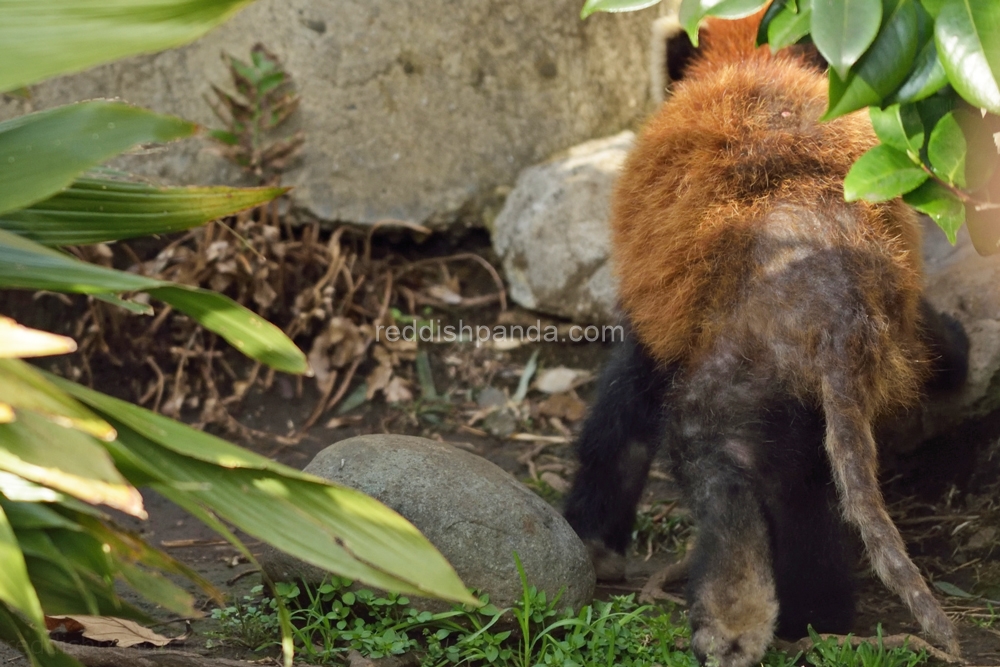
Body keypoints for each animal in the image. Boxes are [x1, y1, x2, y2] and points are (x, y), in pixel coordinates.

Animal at [568, 11, 964, 667]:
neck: (748, 58)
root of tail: (837, 300)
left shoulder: (658, 325)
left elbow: (619, 421)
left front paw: (592, 540)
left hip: (741, 371)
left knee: (724, 477)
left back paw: (735, 619)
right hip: (816, 392)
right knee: (808, 495)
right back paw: (817, 617)